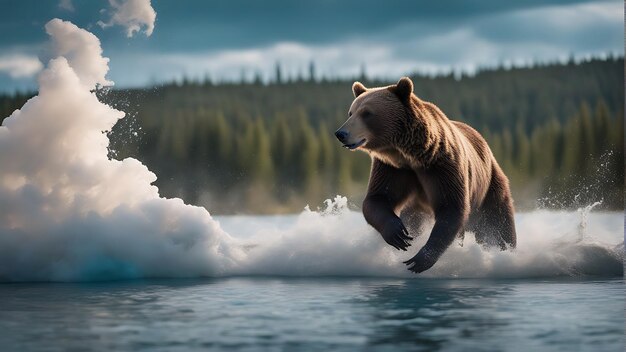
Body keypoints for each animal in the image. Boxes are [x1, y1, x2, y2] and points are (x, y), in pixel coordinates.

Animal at [334, 77, 516, 274]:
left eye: (367, 113)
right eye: (351, 112)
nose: (341, 133)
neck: (410, 155)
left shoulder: (442, 166)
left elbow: (451, 207)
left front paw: (420, 259)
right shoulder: (392, 169)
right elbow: (377, 198)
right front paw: (398, 234)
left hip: (490, 186)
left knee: (498, 221)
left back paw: (505, 250)